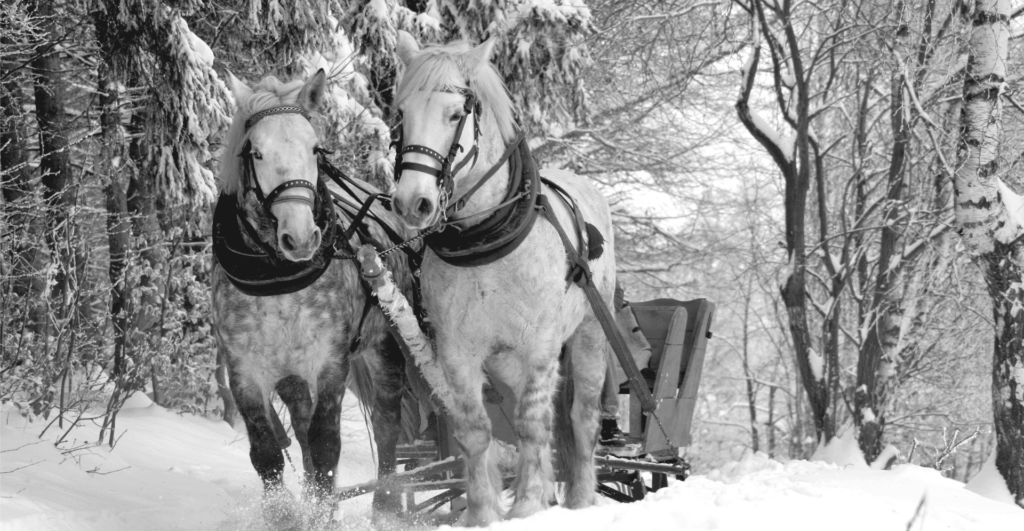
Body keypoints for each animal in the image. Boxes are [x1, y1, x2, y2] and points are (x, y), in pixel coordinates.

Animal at [389, 34, 614, 527]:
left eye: (456, 114)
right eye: (401, 114)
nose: (412, 202)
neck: (485, 239)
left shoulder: (541, 345)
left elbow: (533, 424)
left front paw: (528, 505)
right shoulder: (456, 351)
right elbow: (476, 430)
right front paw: (483, 512)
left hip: (589, 334)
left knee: (580, 418)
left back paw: (580, 498)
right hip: (505, 360)